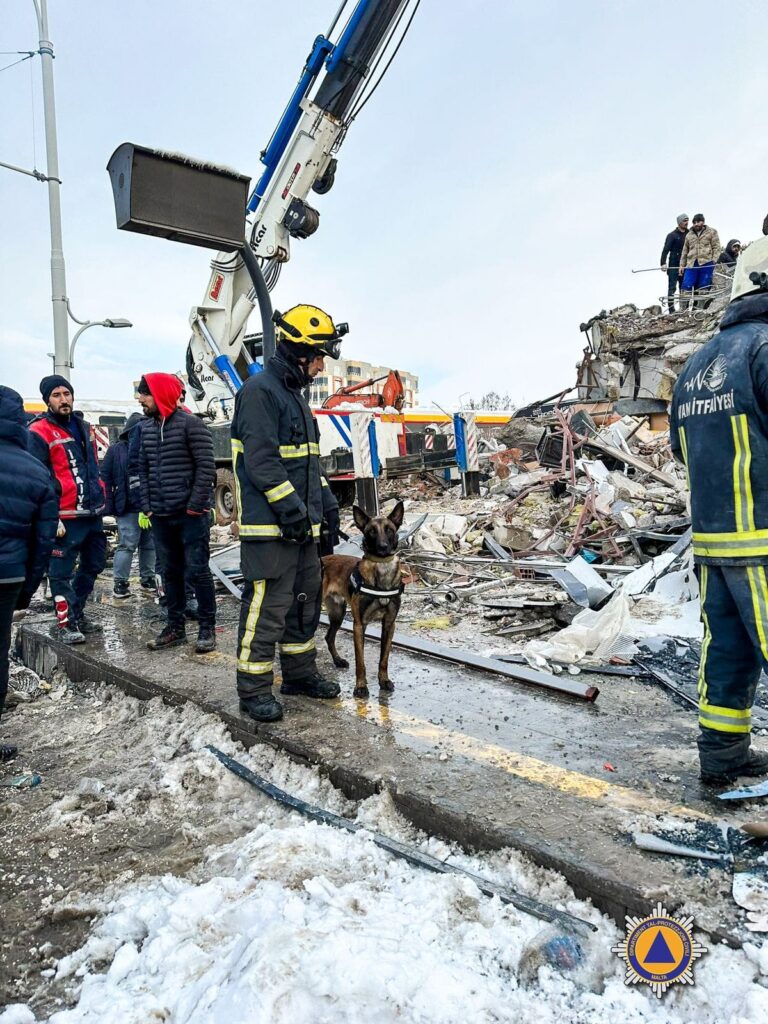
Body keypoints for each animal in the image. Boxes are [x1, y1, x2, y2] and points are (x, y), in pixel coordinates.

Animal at [323, 501, 405, 696]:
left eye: (389, 530)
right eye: (371, 531)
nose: (383, 547)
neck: (381, 568)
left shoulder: (389, 623)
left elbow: (384, 659)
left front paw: (384, 681)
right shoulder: (359, 625)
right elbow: (360, 662)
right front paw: (361, 686)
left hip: (337, 613)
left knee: (329, 637)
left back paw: (338, 661)